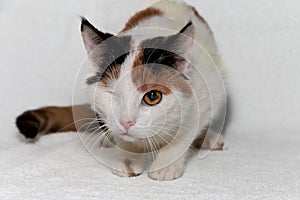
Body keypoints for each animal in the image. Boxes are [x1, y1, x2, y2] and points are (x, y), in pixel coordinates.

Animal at [15, 0, 227, 181]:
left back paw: (211, 139)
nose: (126, 122)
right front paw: (129, 159)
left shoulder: (205, 94)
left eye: (152, 96)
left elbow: (185, 132)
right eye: (112, 94)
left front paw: (165, 165)